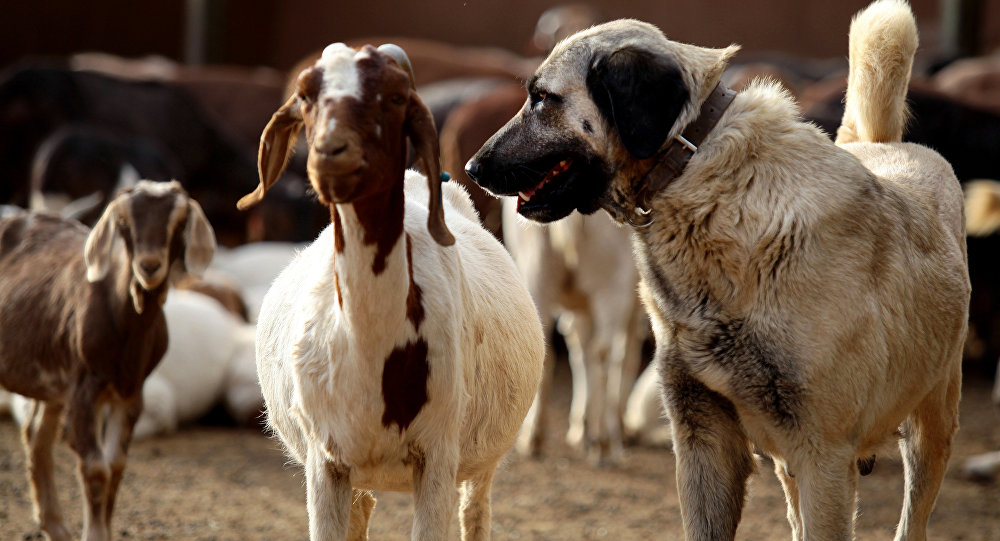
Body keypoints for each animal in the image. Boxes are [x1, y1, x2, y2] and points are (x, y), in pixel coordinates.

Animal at [0, 180, 217, 540]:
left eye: (179, 223)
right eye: (124, 223)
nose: (149, 266)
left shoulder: (130, 392)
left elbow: (116, 465)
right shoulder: (85, 388)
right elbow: (96, 468)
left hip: (54, 382)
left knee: (36, 435)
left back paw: (56, 526)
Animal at [235, 43, 544, 540]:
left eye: (396, 98)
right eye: (305, 96)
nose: (331, 153)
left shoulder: (437, 457)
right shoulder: (325, 465)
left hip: (481, 459)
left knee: (476, 512)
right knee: (362, 511)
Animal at [466, 2, 968, 536]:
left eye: (543, 99)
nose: (472, 169)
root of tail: (884, 146)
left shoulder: (825, 456)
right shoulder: (704, 439)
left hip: (930, 427)